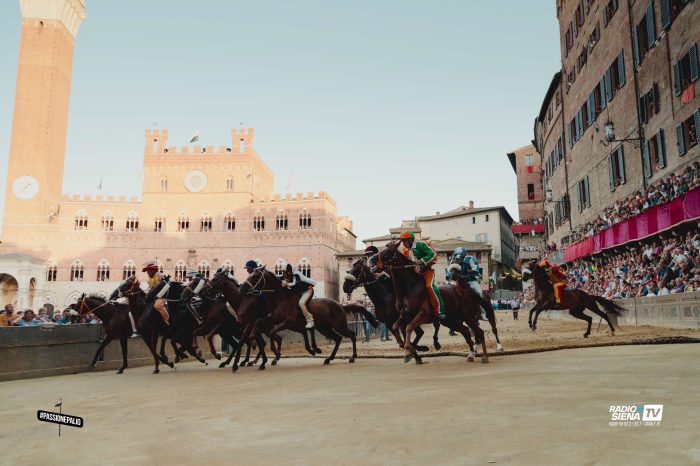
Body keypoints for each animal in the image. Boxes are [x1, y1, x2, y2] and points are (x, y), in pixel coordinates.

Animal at [238, 268, 378, 366]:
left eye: (254, 276)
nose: (241, 289)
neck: (281, 298)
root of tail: (341, 305)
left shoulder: (287, 322)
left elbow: (272, 332)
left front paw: (275, 354)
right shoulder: (274, 319)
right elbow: (258, 321)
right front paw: (253, 339)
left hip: (339, 325)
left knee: (351, 335)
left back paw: (353, 357)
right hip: (324, 328)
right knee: (338, 338)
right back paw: (329, 358)